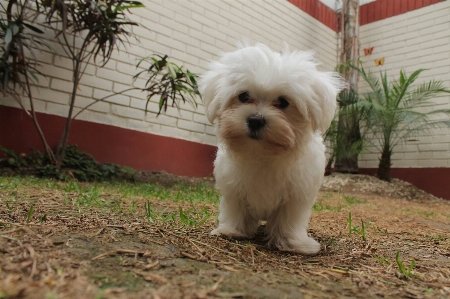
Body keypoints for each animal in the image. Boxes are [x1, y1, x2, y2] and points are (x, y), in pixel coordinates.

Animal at [199, 44, 342, 255]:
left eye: (283, 102)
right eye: (243, 96)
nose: (255, 120)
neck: (263, 154)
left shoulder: (296, 195)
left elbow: (288, 219)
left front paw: (293, 243)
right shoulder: (234, 189)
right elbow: (236, 209)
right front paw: (232, 230)